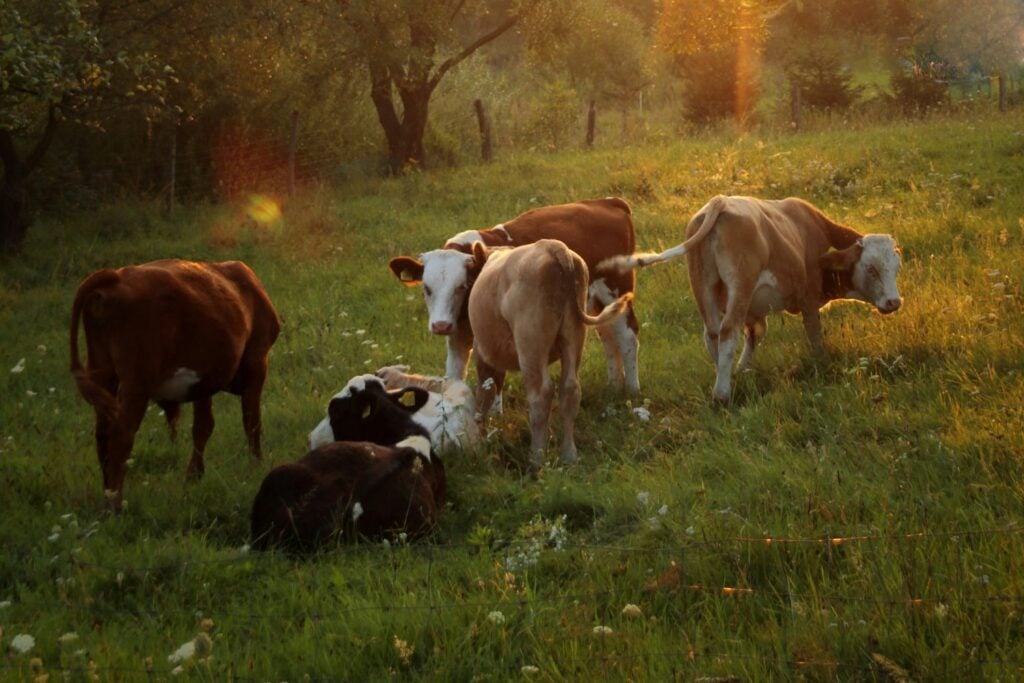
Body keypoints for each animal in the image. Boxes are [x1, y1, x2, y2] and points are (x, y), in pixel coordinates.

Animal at [69, 259, 281, 510]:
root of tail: (115, 277)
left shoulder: (204, 380)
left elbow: (203, 426)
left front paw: (194, 477)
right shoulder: (256, 362)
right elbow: (252, 421)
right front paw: (256, 467)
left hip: (102, 372)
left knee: (102, 433)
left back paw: (106, 493)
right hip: (137, 380)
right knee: (122, 433)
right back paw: (115, 502)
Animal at [388, 198, 641, 409]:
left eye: (462, 285)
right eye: (426, 288)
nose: (440, 325)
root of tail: (608, 202)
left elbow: (494, 388)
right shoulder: (457, 339)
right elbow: (454, 378)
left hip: (616, 290)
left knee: (628, 336)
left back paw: (632, 390)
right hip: (596, 303)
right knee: (608, 337)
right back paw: (614, 386)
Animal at [468, 239, 633, 468]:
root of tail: (553, 247)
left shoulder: (483, 354)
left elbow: (483, 397)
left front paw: (476, 442)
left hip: (530, 342)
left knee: (541, 394)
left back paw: (536, 458)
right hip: (574, 335)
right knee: (570, 389)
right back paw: (569, 454)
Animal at [601, 195, 903, 402]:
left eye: (897, 267)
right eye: (872, 269)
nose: (894, 302)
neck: (812, 228)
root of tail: (720, 202)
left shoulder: (754, 310)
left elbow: (756, 333)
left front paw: (743, 370)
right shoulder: (808, 297)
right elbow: (814, 334)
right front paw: (821, 362)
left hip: (703, 285)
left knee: (712, 334)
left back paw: (721, 378)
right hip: (740, 285)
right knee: (728, 332)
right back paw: (722, 394)